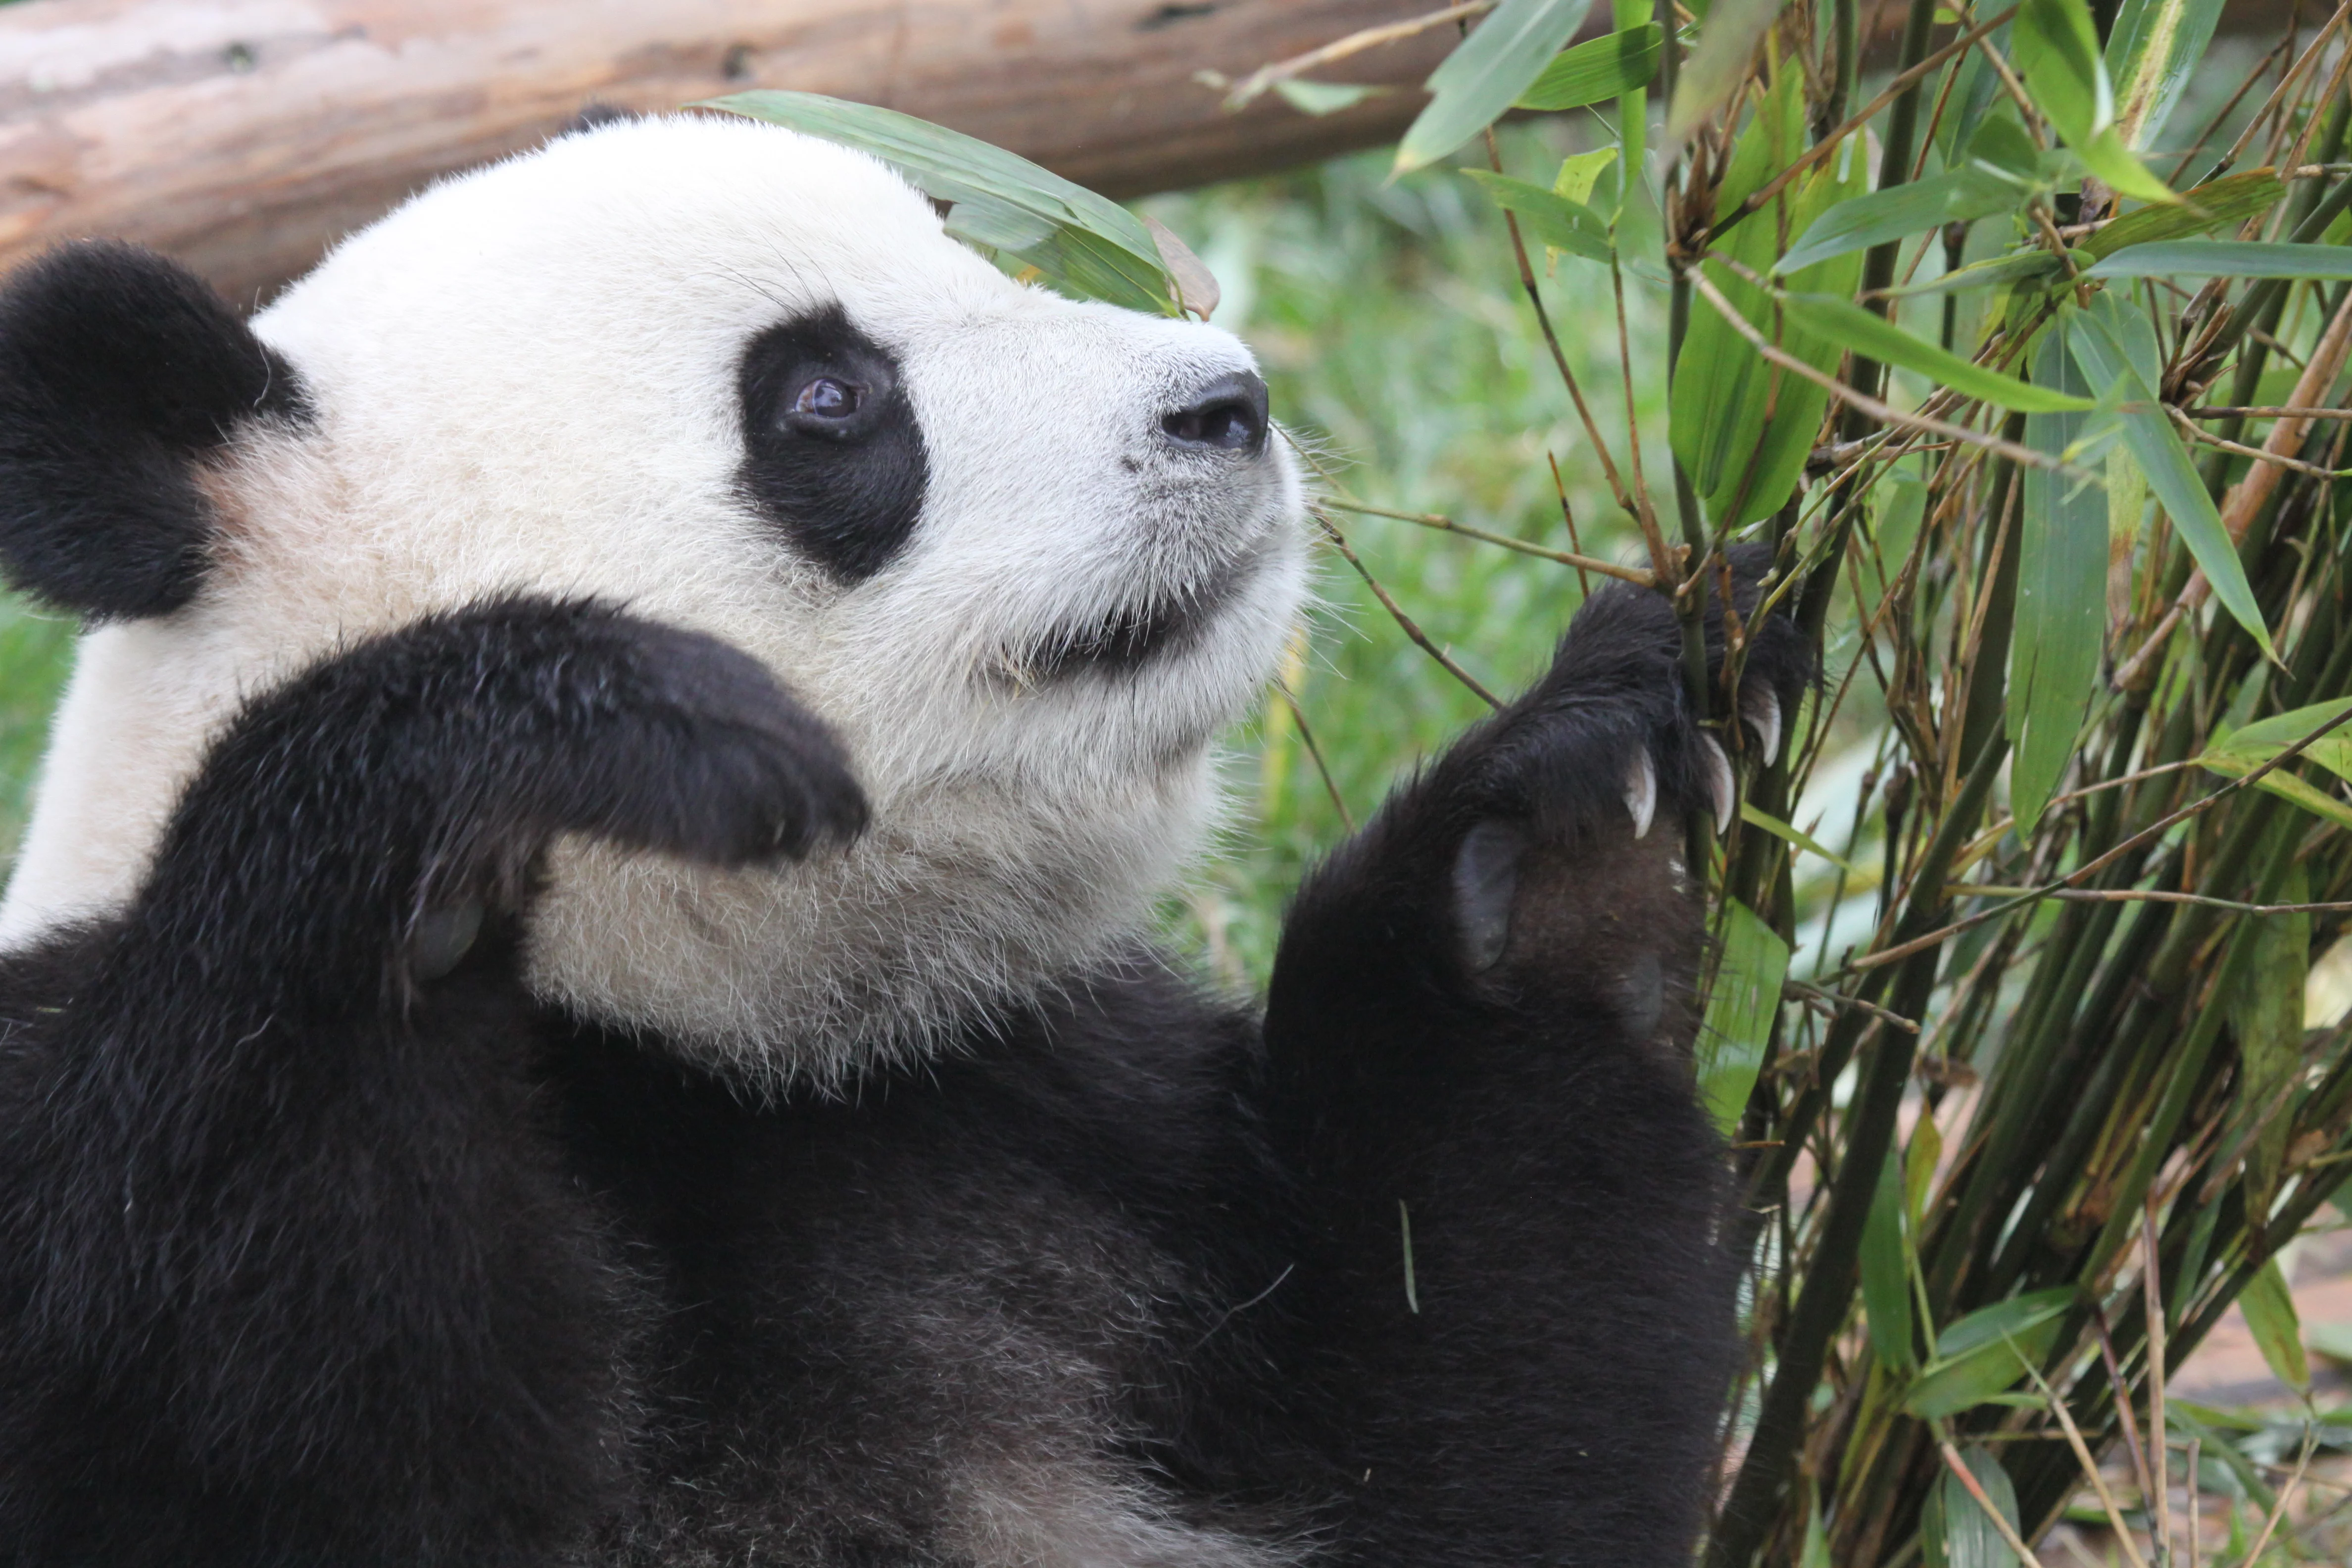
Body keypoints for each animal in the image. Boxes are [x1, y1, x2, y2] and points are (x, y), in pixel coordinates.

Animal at [0, 113, 1801, 1566]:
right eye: (827, 395)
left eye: (970, 241)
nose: (1230, 401)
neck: (686, 1048)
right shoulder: (101, 1171)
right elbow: (241, 1359)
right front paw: (535, 731)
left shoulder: (1064, 1127)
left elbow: (1477, 1440)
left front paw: (1563, 839)